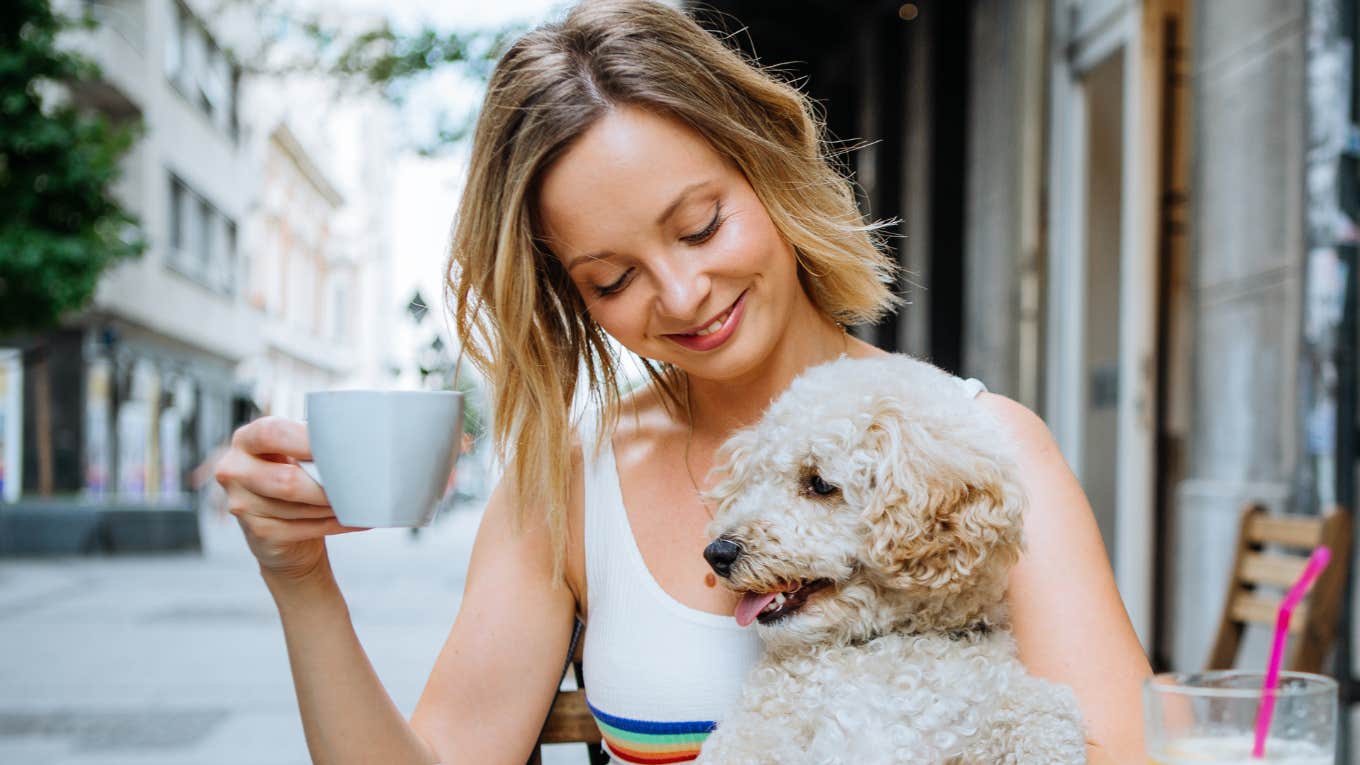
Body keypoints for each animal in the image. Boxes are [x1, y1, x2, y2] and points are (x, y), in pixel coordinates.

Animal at [696, 353, 1088, 762]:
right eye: (755, 480)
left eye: (818, 483)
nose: (718, 553)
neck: (886, 643)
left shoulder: (993, 696)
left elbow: (1046, 717)